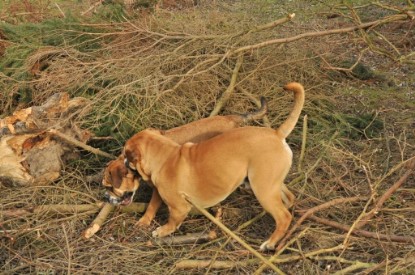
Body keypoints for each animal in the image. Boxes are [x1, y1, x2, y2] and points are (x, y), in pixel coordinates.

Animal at [103, 98, 270, 227]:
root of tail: (231, 118)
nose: (106, 198)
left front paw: (144, 221)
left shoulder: (158, 190)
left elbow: (151, 205)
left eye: (110, 187)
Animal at [122, 82, 304, 252]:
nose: (123, 160)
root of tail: (277, 134)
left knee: (283, 216)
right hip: (270, 182)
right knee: (289, 199)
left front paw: (161, 231)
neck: (164, 154)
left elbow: (172, 221)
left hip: (262, 188)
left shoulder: (179, 207)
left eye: (126, 155)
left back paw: (270, 242)